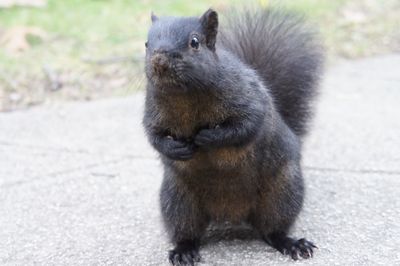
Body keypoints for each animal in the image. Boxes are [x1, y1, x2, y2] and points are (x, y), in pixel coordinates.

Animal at [142, 6, 324, 266]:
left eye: (194, 42)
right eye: (146, 43)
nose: (158, 59)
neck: (184, 95)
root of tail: (231, 213)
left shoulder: (247, 96)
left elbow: (246, 125)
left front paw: (208, 137)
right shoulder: (153, 112)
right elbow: (154, 136)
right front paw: (176, 149)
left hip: (283, 192)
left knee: (272, 230)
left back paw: (290, 243)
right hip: (178, 200)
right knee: (187, 232)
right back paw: (184, 250)